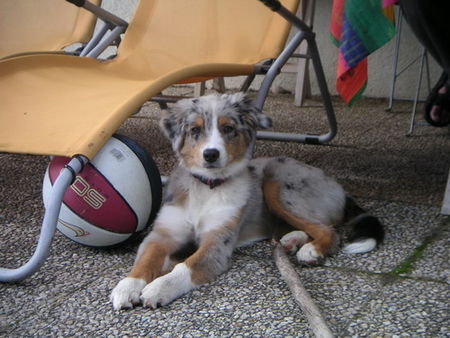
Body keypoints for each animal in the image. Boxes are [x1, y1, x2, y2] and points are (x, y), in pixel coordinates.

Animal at [110, 92, 384, 308]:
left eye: (228, 128)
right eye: (195, 130)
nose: (211, 154)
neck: (207, 187)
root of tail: (339, 187)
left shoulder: (217, 244)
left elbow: (185, 267)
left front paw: (158, 288)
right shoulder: (163, 234)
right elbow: (145, 260)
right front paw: (127, 287)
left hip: (278, 185)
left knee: (328, 229)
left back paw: (311, 250)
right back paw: (291, 240)